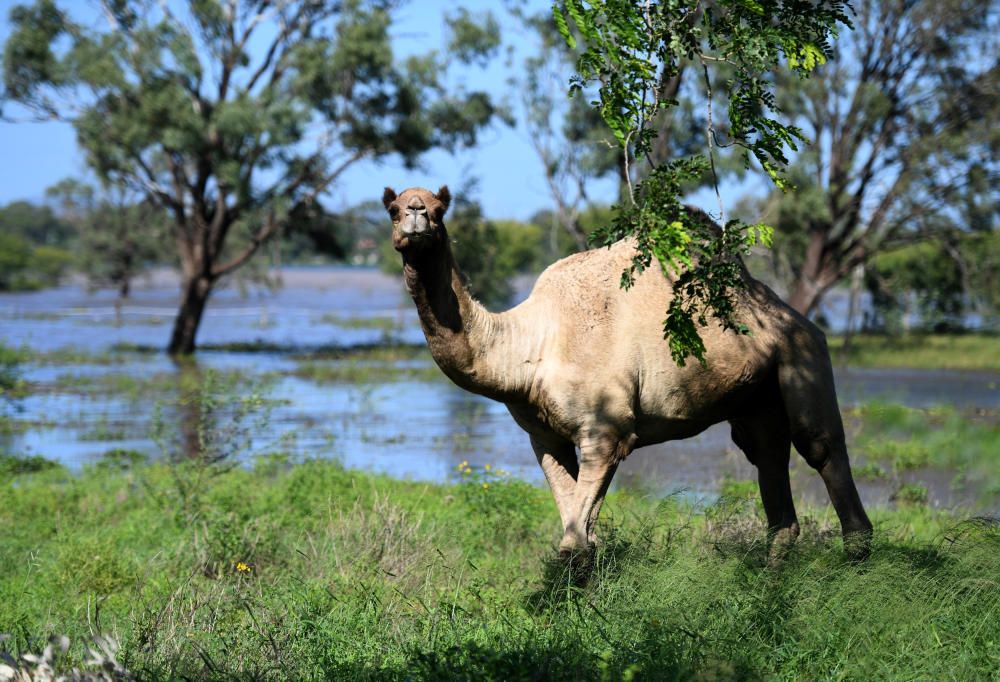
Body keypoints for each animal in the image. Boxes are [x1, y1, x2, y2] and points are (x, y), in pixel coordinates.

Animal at [384, 185, 876, 556]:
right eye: (392, 208)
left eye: (439, 209)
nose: (416, 215)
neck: (533, 345)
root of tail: (796, 317)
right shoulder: (544, 436)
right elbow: (580, 535)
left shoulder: (606, 429)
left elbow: (575, 542)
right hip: (755, 397)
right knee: (772, 477)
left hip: (803, 357)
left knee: (822, 449)